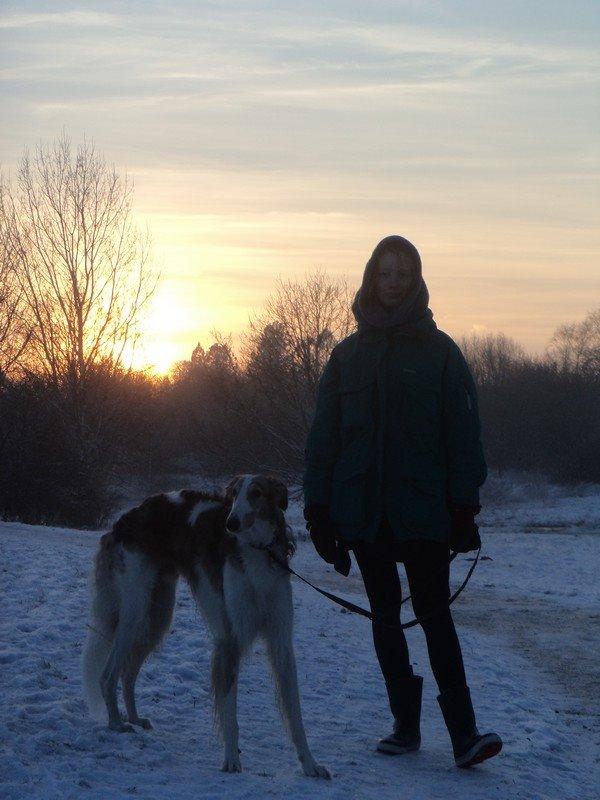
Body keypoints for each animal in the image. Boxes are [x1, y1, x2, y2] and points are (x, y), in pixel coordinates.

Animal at [82, 472, 330, 780]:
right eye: (233, 494)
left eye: (256, 493)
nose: (231, 523)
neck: (258, 552)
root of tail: (121, 522)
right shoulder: (230, 642)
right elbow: (230, 714)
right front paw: (231, 760)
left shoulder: (281, 643)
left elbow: (295, 714)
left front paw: (310, 764)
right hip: (134, 613)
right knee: (108, 674)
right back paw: (116, 722)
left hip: (158, 614)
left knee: (128, 673)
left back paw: (135, 718)